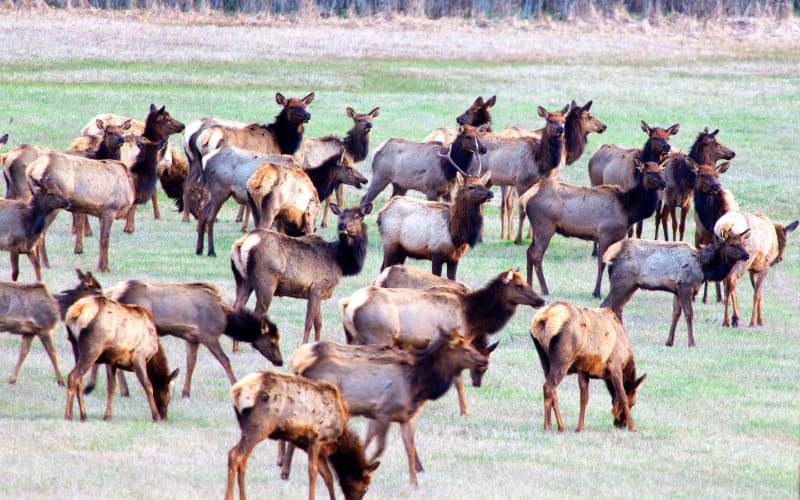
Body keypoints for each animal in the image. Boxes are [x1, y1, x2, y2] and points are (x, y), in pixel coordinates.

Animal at [225, 371, 379, 500]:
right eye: (365, 486)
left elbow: (327, 476)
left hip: (247, 429)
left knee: (242, 461)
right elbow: (313, 472)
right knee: (235, 455)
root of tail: (237, 391)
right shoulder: (316, 439)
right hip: (258, 428)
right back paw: (229, 497)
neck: (337, 439)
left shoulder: (312, 446)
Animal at [231, 203, 371, 344]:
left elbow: (318, 323)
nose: (342, 226)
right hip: (266, 282)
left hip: (243, 280)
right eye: (341, 216)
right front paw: (304, 345)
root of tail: (241, 244)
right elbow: (309, 323)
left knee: (236, 308)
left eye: (358, 216)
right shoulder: (316, 287)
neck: (341, 261)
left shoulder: (318, 291)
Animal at [525, 158, 667, 298]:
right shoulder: (605, 234)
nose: (664, 183)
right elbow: (602, 263)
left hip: (537, 229)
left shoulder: (616, 238)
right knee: (537, 255)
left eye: (661, 170)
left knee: (529, 251)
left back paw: (529, 285)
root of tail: (526, 198)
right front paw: (596, 293)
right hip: (545, 226)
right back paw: (545, 290)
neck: (628, 211)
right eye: (649, 172)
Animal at [530, 301, 647, 432]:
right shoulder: (615, 366)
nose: (620, 424)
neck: (626, 357)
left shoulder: (584, 372)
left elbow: (584, 399)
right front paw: (633, 427)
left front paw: (579, 428)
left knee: (553, 390)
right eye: (633, 403)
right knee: (548, 387)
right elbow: (622, 396)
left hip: (544, 359)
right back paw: (548, 426)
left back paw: (561, 427)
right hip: (563, 360)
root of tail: (544, 318)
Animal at [601, 229, 751, 347]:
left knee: (618, 308)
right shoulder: (685, 285)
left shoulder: (677, 290)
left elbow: (676, 314)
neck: (704, 267)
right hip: (621, 282)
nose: (747, 255)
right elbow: (689, 314)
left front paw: (669, 342)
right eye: (732, 244)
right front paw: (692, 343)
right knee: (606, 305)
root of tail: (610, 255)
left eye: (743, 243)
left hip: (632, 286)